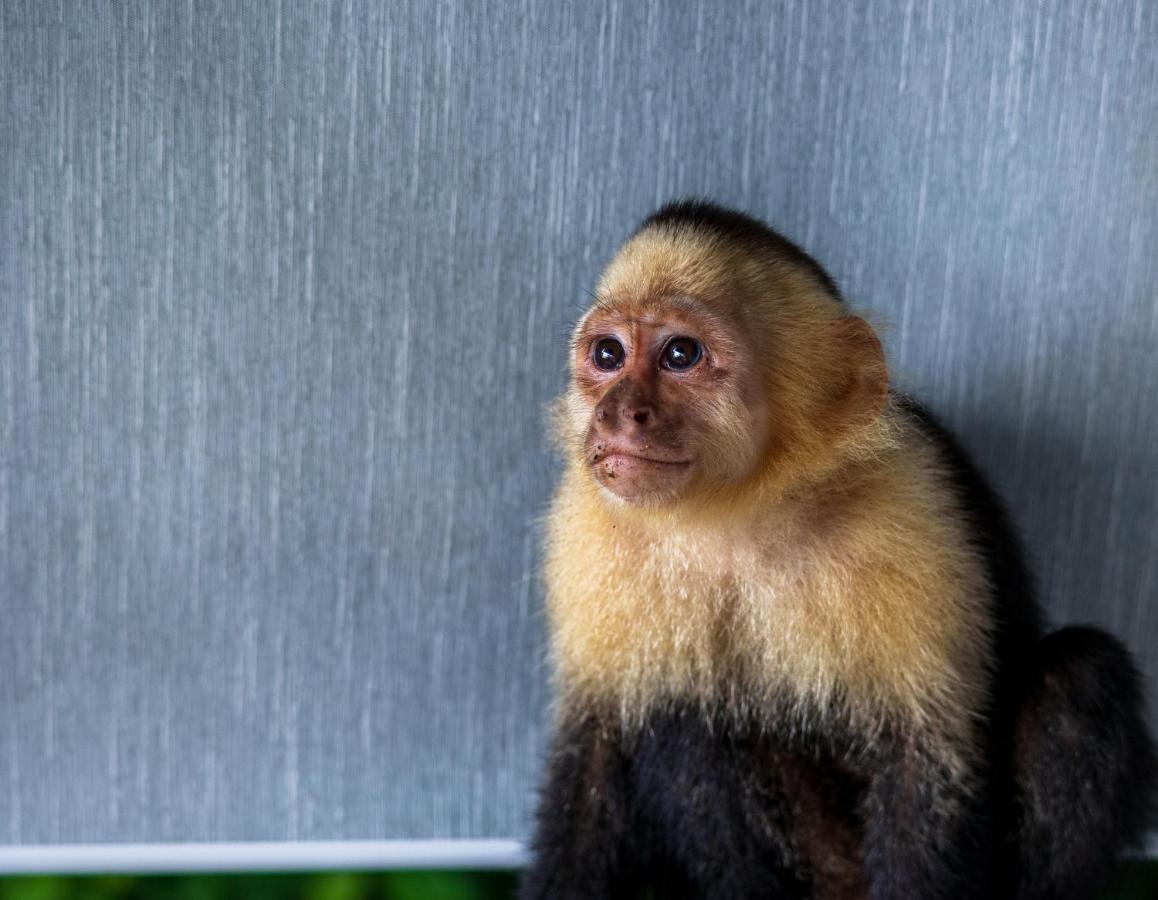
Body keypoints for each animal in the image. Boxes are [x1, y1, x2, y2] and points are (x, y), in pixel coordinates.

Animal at [528, 201, 1158, 898]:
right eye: (608, 353)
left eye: (680, 354)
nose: (617, 413)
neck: (733, 517)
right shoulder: (587, 525)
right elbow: (594, 751)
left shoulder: (911, 504)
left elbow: (926, 758)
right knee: (677, 714)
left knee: (1079, 677)